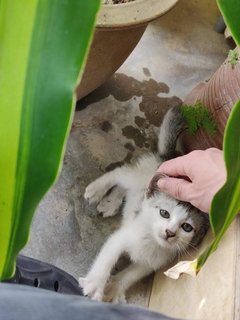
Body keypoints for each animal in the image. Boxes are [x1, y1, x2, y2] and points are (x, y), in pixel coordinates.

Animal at [79, 106, 209, 304]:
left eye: (187, 227)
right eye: (164, 213)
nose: (169, 233)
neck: (151, 240)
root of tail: (168, 156)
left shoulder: (149, 264)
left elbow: (131, 275)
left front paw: (114, 288)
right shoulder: (119, 238)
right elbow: (107, 259)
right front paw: (94, 285)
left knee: (128, 189)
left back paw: (111, 203)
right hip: (138, 175)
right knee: (119, 173)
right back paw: (97, 190)